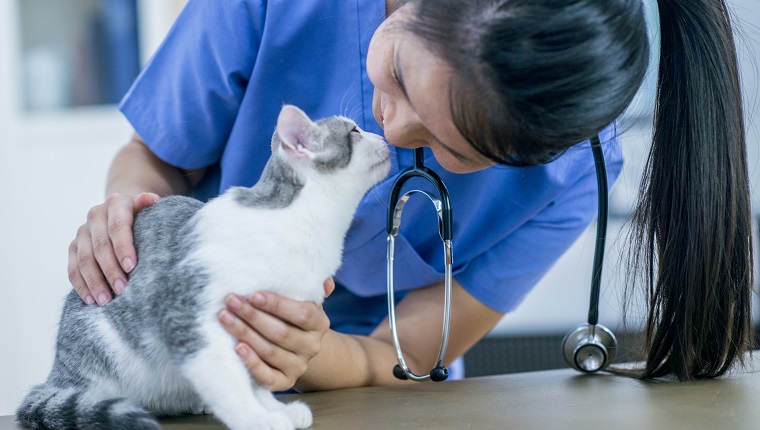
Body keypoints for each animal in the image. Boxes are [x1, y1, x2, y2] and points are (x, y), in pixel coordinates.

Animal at [16, 105, 392, 430]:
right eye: (354, 131)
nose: (382, 133)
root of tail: (60, 371)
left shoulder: (256, 330)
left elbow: (254, 377)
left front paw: (271, 406)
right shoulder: (189, 317)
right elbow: (229, 378)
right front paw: (256, 417)